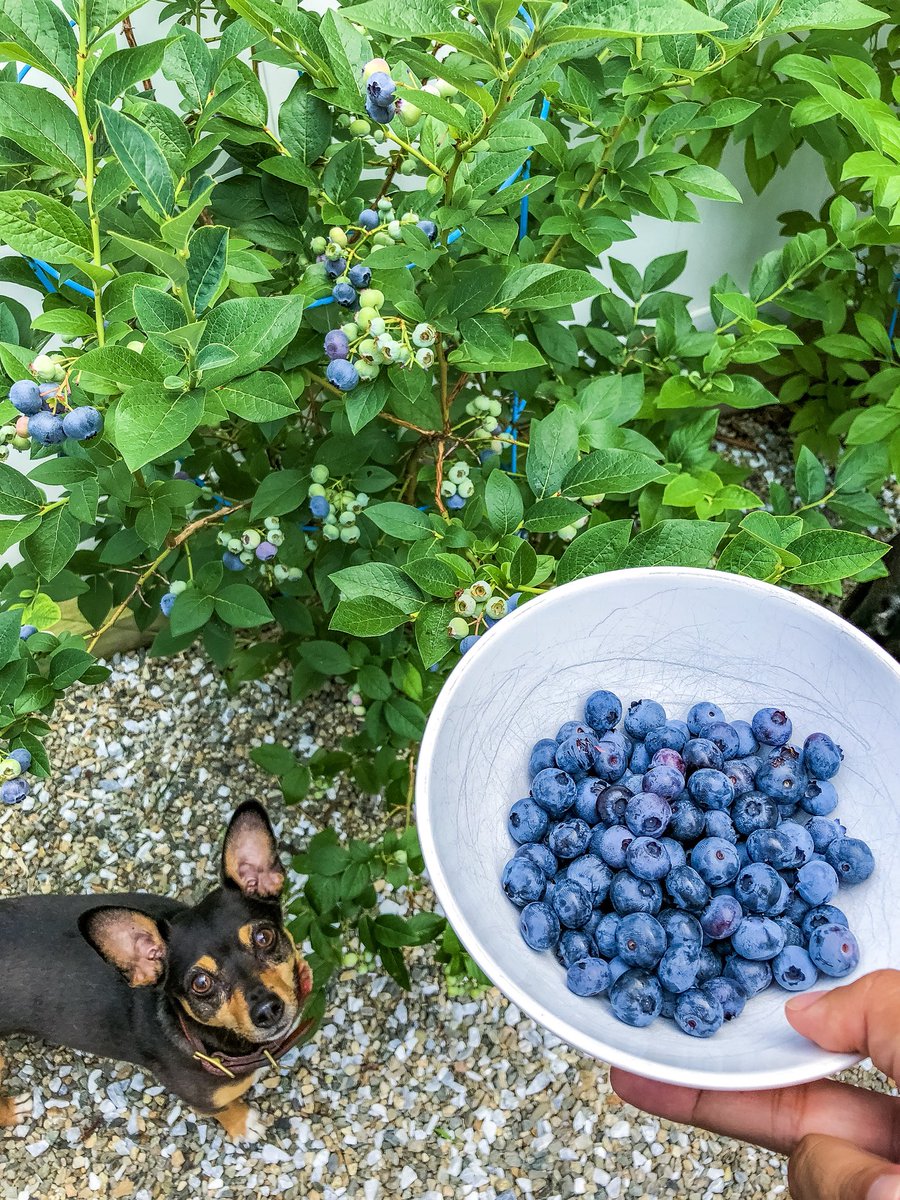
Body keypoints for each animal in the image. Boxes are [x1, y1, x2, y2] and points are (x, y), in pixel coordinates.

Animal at [0, 801, 314, 1137]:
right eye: (200, 983)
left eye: (264, 937)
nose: (267, 1010)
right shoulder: (203, 1100)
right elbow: (225, 1109)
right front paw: (243, 1124)